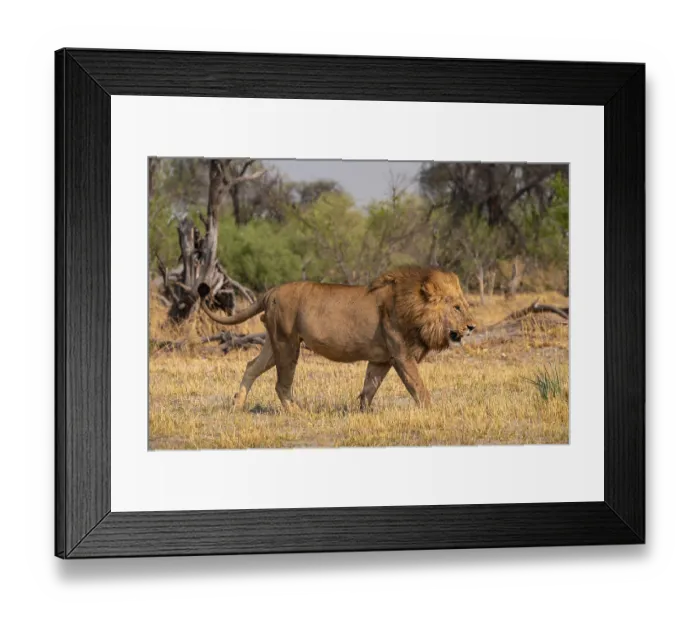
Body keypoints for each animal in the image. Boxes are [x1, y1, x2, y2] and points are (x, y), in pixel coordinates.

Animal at [197, 266, 476, 412]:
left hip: (274, 343)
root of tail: (271, 291)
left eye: (464, 305)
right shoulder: (401, 355)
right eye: (456, 307)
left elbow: (370, 386)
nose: (472, 327)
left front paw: (364, 412)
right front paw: (432, 411)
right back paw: (295, 412)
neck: (413, 307)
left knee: (251, 367)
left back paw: (237, 404)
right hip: (287, 344)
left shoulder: (381, 359)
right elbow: (417, 385)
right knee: (281, 383)